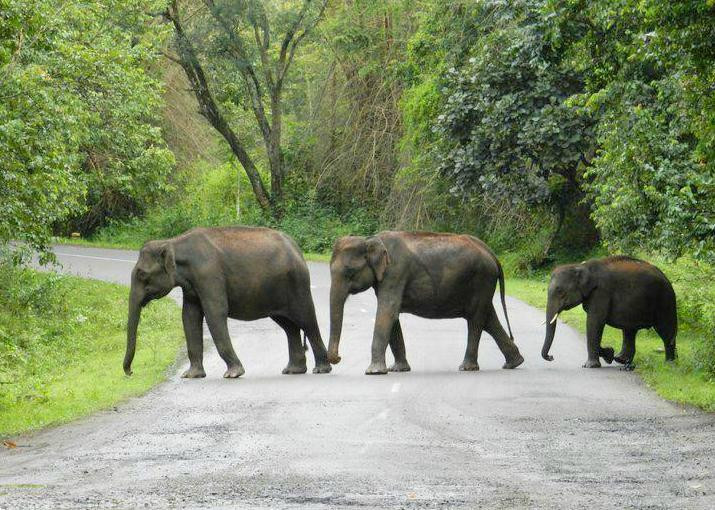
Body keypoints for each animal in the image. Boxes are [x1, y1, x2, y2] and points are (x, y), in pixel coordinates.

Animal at [124, 227, 332, 378]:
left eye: (142, 274)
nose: (130, 372)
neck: (174, 242)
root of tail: (297, 248)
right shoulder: (191, 287)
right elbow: (189, 317)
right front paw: (191, 375)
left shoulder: (209, 275)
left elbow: (215, 313)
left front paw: (233, 374)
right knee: (289, 326)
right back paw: (293, 371)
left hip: (297, 284)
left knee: (307, 321)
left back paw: (321, 369)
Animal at [328, 231, 524, 374]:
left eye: (350, 272)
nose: (338, 358)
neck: (370, 239)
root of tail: (492, 253)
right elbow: (392, 315)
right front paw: (398, 370)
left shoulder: (395, 273)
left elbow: (387, 311)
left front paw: (374, 372)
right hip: (483, 285)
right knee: (488, 319)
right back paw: (514, 363)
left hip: (481, 280)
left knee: (476, 320)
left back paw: (467, 367)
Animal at [544, 255, 676, 370]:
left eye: (560, 291)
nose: (551, 357)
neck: (581, 266)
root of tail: (666, 277)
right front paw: (609, 354)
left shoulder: (601, 293)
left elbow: (594, 322)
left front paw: (590, 365)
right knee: (629, 330)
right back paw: (620, 359)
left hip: (665, 300)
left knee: (665, 330)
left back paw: (669, 364)